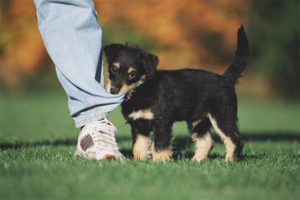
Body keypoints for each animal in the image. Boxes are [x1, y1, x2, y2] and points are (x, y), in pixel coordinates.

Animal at [103, 25, 248, 162]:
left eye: (132, 74)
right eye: (113, 69)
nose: (113, 90)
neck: (141, 89)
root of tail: (226, 79)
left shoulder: (162, 123)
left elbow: (159, 146)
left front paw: (159, 163)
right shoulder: (138, 125)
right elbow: (138, 146)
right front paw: (139, 161)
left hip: (222, 116)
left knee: (235, 140)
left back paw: (228, 161)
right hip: (198, 121)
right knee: (206, 141)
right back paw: (196, 161)